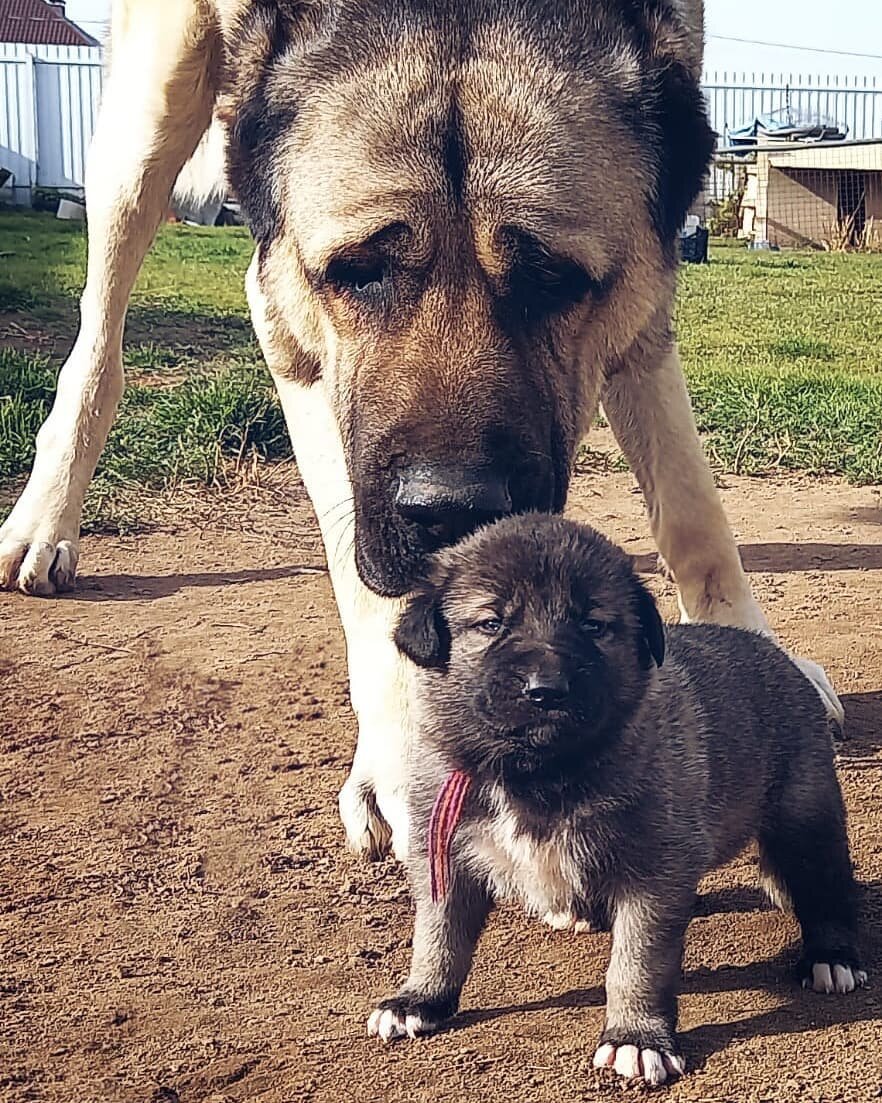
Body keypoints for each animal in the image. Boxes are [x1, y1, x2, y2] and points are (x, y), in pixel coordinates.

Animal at [0, 0, 842, 860]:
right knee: (101, 328)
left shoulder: (642, 290)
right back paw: (45, 518)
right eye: (356, 272)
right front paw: (417, 743)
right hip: (147, 123)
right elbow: (389, 596)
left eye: (552, 278)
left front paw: (749, 661)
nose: (452, 511)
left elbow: (693, 505)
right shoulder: (294, 333)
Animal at [366, 513, 868, 1085]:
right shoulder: (445, 855)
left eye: (593, 626)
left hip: (804, 815)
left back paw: (832, 956)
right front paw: (419, 998)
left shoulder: (652, 874)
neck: (537, 771)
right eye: (491, 624)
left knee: (825, 887)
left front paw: (635, 1036)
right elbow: (439, 936)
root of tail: (772, 653)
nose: (546, 689)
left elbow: (636, 963)